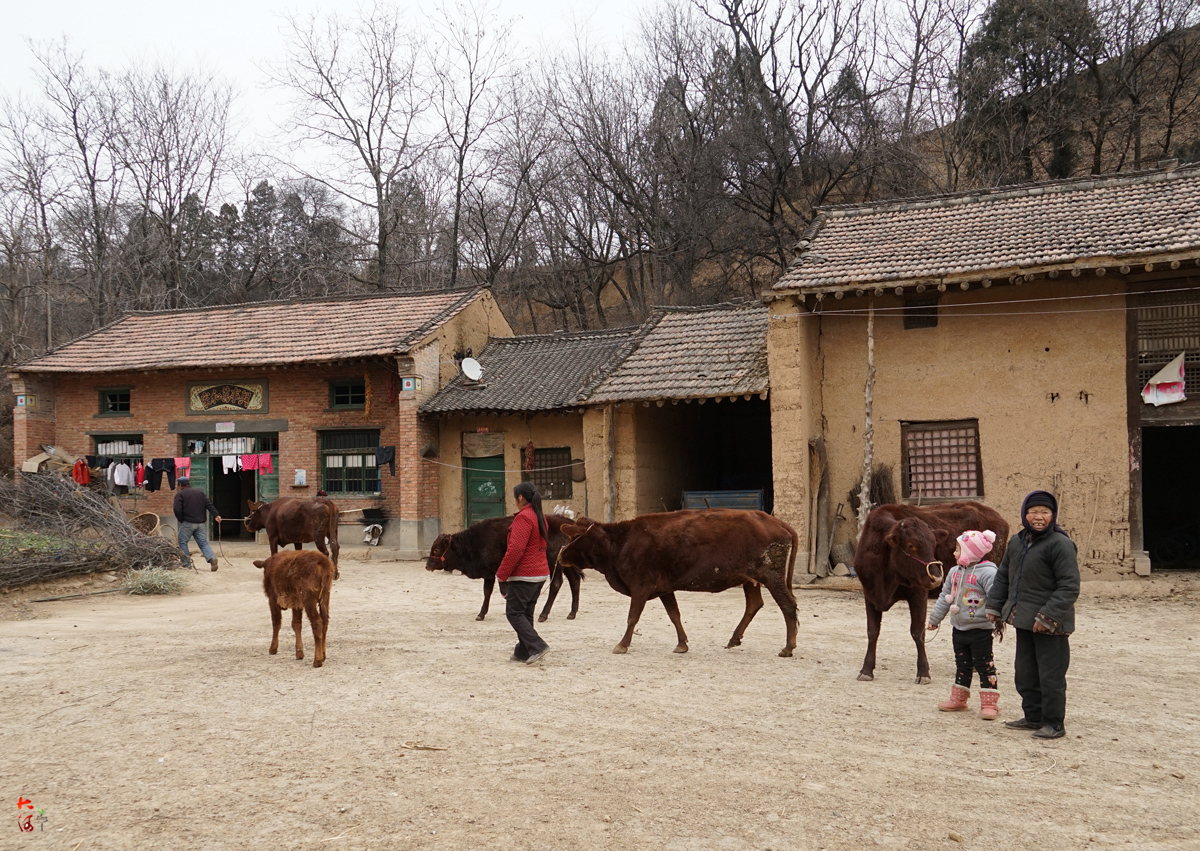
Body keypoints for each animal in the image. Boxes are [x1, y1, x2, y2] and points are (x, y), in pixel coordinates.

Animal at [427, 513, 580, 619]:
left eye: (436, 550)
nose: (427, 565)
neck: (472, 541)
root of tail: (567, 522)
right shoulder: (492, 574)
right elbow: (492, 591)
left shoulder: (494, 572)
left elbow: (496, 591)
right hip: (566, 565)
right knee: (574, 581)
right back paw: (572, 613)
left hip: (554, 564)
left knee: (556, 584)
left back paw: (543, 614)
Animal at [556, 511, 801, 657]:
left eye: (572, 537)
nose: (560, 555)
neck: (621, 543)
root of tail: (776, 521)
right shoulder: (665, 588)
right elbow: (674, 615)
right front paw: (682, 644)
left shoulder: (641, 587)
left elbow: (632, 617)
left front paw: (622, 644)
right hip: (751, 579)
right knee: (754, 604)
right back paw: (734, 639)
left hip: (771, 576)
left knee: (788, 606)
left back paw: (788, 647)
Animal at [854, 504, 1012, 681]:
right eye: (911, 545)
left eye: (933, 544)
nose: (936, 577)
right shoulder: (870, 594)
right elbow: (872, 632)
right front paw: (866, 670)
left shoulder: (918, 593)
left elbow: (917, 632)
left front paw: (923, 672)